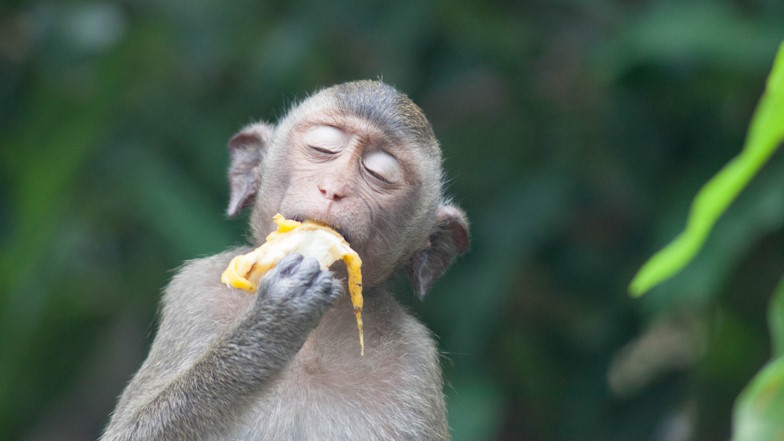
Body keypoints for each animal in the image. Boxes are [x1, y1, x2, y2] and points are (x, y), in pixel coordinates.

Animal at [100, 80, 468, 440]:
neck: (318, 337)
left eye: (379, 173)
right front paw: (269, 326)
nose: (333, 189)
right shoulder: (196, 295)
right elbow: (130, 431)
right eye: (323, 148)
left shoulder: (415, 365)